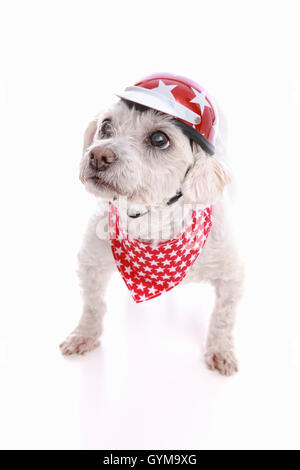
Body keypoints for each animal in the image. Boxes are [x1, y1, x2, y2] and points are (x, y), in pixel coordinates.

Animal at [60, 75, 244, 376]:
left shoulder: (232, 275)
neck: (149, 221)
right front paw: (85, 335)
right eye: (106, 125)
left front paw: (220, 350)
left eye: (159, 139)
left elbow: (223, 318)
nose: (98, 155)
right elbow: (93, 305)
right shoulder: (90, 263)